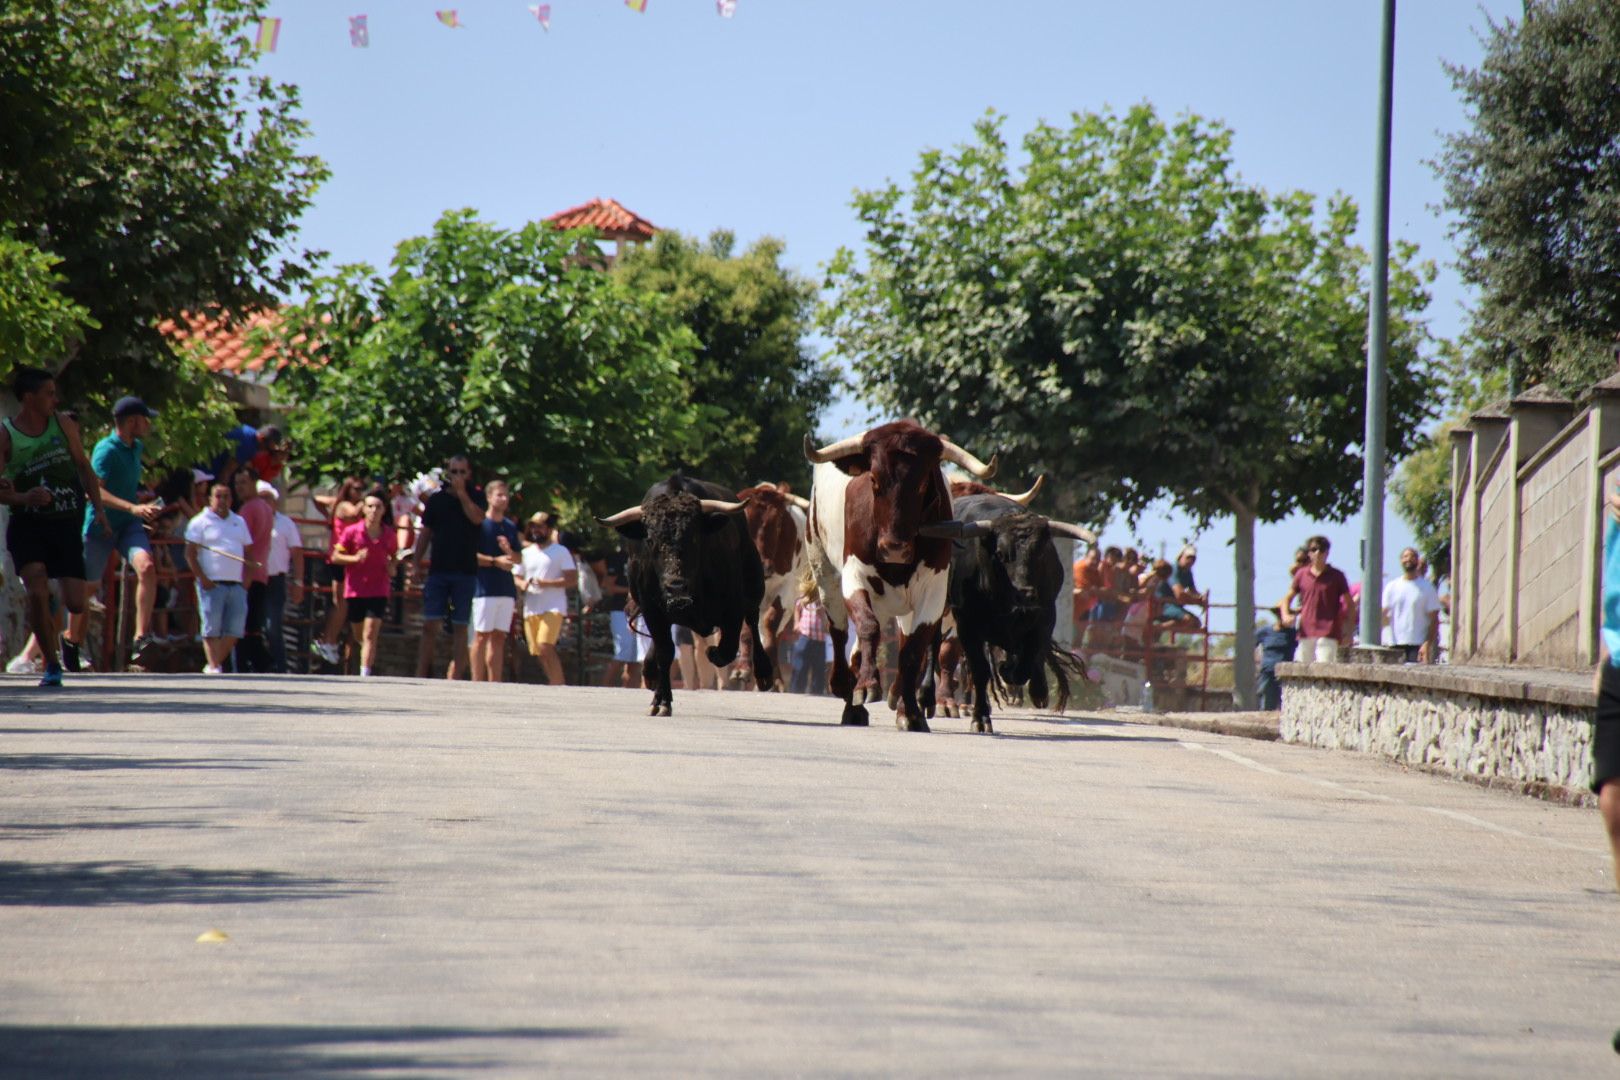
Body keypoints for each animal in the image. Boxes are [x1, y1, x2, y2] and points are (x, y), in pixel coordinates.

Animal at [599, 476, 774, 718]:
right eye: (650, 540)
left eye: (694, 538)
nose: (676, 586)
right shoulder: (651, 610)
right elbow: (665, 652)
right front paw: (661, 701)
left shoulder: (733, 608)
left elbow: (727, 648)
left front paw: (713, 652)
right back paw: (650, 672)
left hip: (754, 586)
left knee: (753, 622)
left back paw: (764, 674)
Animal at [800, 417, 991, 731]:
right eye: (874, 481)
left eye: (923, 482)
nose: (894, 548)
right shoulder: (854, 575)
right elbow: (867, 628)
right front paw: (865, 686)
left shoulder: (933, 592)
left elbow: (912, 651)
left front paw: (910, 712)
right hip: (823, 568)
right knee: (839, 631)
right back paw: (846, 690)